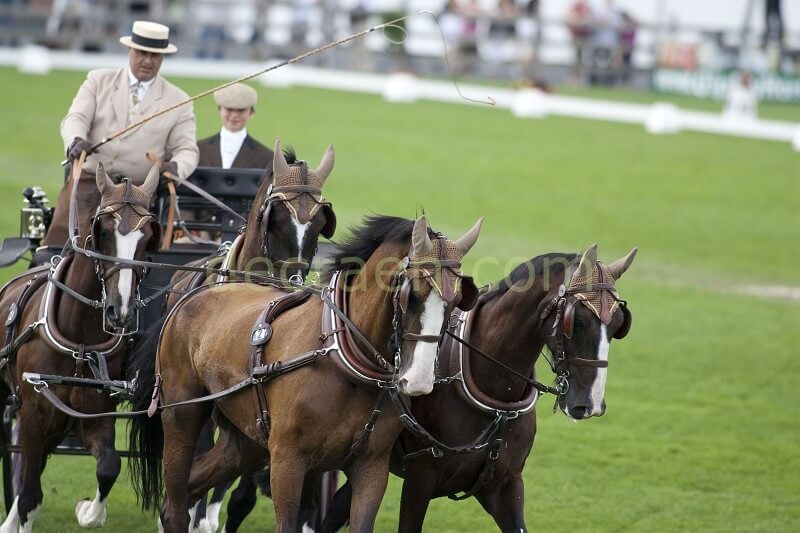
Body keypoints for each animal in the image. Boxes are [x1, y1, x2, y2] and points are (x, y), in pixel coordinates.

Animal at [0, 163, 162, 531]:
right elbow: (30, 495)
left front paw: (88, 510)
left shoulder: (94, 414)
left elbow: (109, 467)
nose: (120, 311)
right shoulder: (33, 412)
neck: (81, 343)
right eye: (103, 231)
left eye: (148, 237)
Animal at [128, 214, 483, 532]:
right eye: (413, 294)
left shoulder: (371, 466)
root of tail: (192, 293)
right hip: (182, 415)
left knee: (191, 488)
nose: (419, 380)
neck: (344, 364)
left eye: (455, 302)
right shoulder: (287, 461)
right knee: (176, 505)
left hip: (246, 442)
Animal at [322, 243, 637, 532]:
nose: (591, 404)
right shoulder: (418, 482)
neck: (496, 396)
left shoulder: (504, 487)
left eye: (618, 325)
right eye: (579, 322)